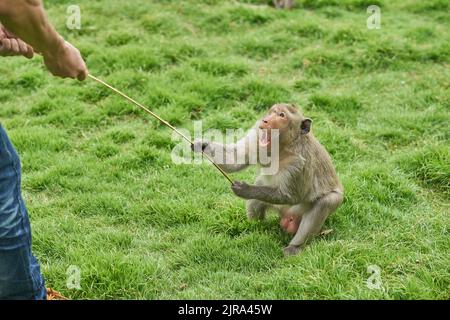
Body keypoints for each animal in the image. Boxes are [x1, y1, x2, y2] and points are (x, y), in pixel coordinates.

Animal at [192, 104, 342, 256]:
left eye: (281, 115)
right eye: (273, 111)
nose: (265, 120)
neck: (281, 147)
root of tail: (286, 216)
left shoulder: (300, 162)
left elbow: (292, 196)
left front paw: (246, 190)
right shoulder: (256, 136)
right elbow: (236, 159)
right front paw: (202, 145)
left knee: (326, 201)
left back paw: (295, 246)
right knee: (258, 194)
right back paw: (254, 228)